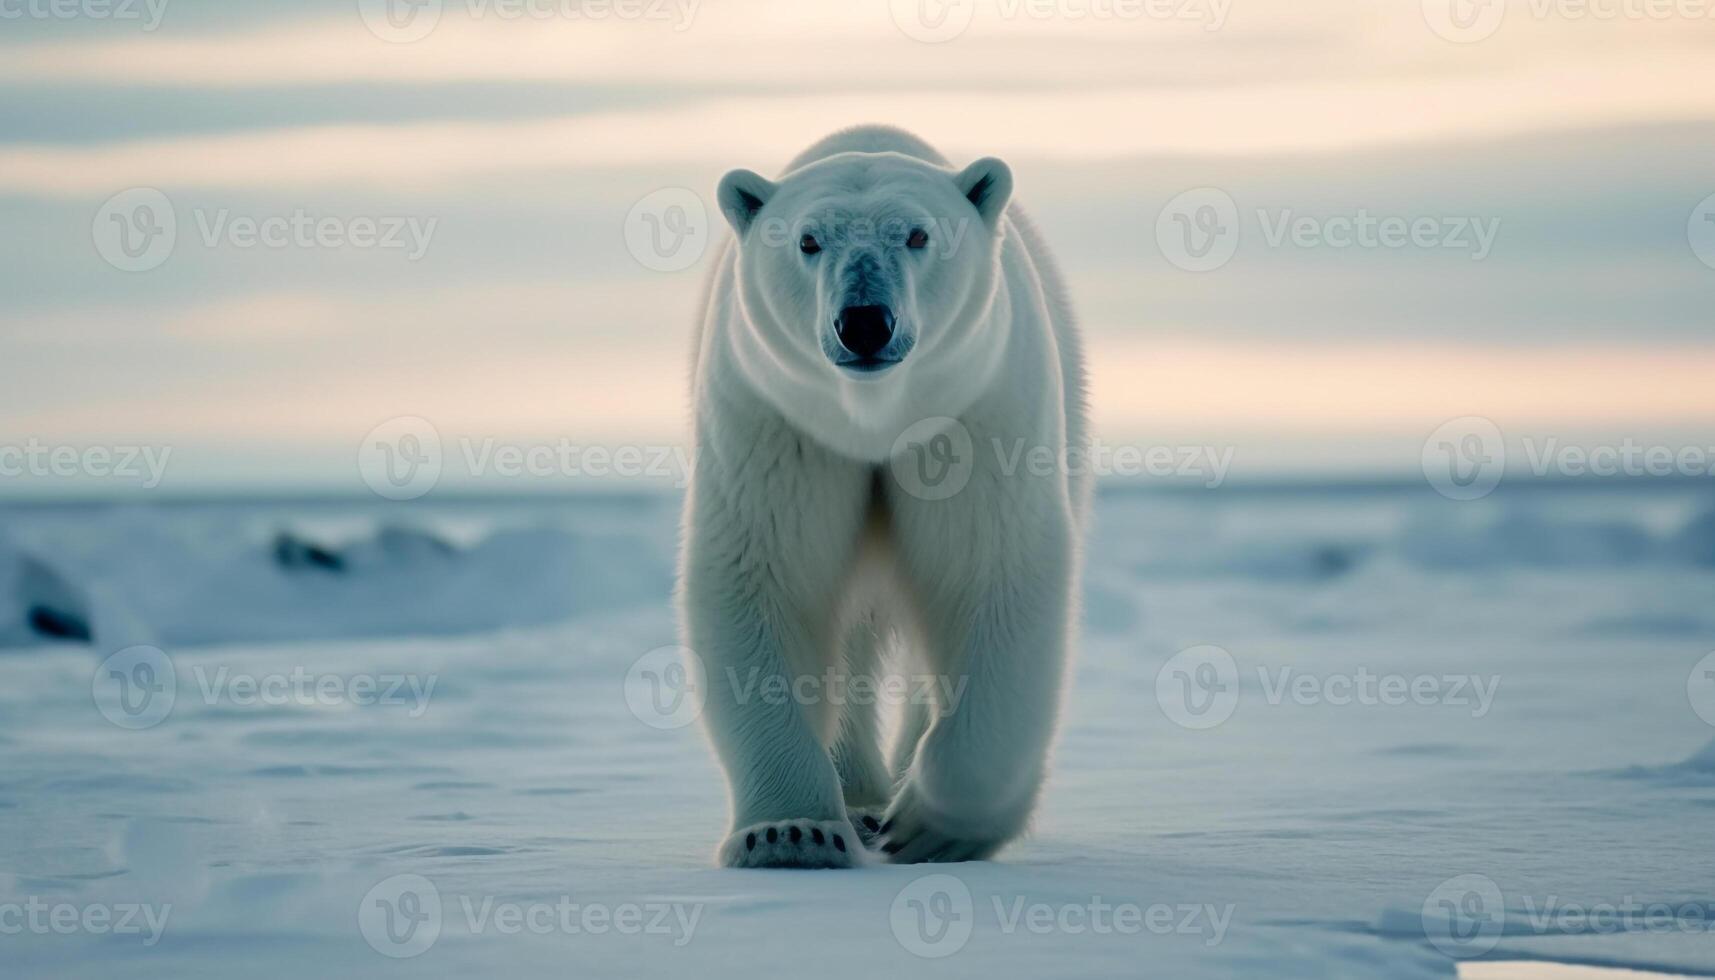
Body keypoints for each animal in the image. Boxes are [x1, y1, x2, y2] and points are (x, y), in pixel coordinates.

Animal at [679, 124, 1090, 865]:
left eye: (918, 234)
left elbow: (991, 575)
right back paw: (862, 799)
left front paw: (934, 826)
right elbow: (764, 579)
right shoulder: (776, 426)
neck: (872, 419)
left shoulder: (972, 420)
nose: (865, 322)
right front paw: (789, 832)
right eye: (808, 240)